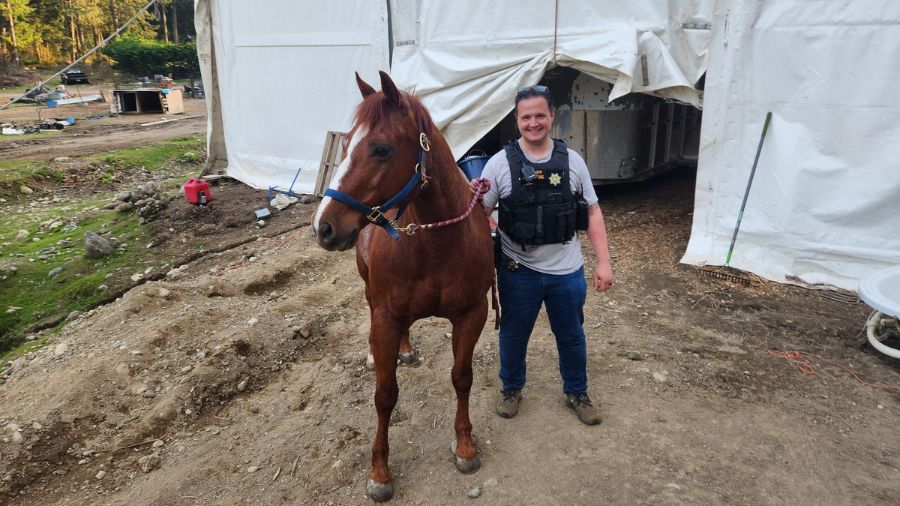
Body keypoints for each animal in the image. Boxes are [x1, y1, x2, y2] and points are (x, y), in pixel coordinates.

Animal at [312, 71, 494, 502]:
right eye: (345, 143)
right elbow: (384, 395)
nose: (323, 226)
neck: (436, 242)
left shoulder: (472, 314)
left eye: (380, 148)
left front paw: (465, 446)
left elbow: (462, 377)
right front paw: (379, 472)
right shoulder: (385, 316)